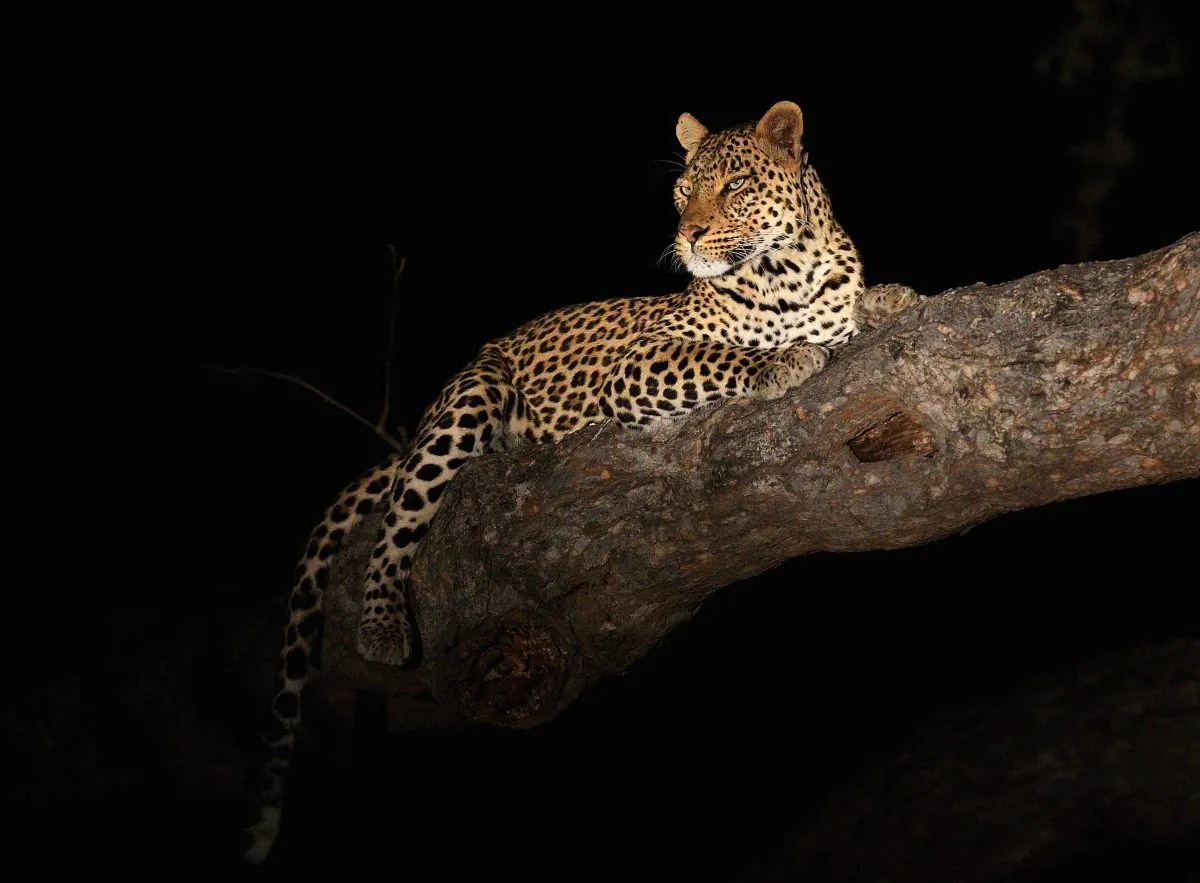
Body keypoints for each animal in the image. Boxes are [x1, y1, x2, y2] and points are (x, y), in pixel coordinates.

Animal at [243, 100, 919, 864]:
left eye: (736, 186)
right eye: (684, 191)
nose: (687, 237)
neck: (790, 271)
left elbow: (847, 315)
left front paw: (888, 299)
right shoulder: (639, 364)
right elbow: (725, 354)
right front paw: (783, 359)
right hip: (471, 399)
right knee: (401, 513)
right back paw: (383, 620)